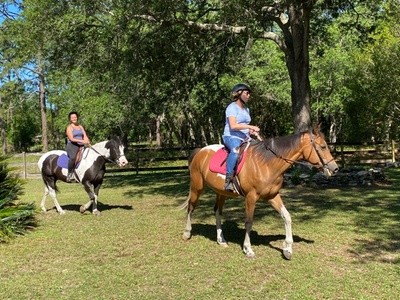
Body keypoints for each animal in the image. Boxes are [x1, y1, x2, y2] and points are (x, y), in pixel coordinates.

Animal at [183, 125, 340, 258]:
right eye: (323, 146)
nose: (335, 168)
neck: (267, 164)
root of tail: (200, 151)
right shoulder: (251, 197)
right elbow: (249, 221)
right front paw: (248, 249)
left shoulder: (272, 196)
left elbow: (287, 217)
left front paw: (287, 249)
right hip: (197, 187)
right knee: (191, 207)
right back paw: (187, 233)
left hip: (221, 192)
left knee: (217, 211)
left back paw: (221, 239)